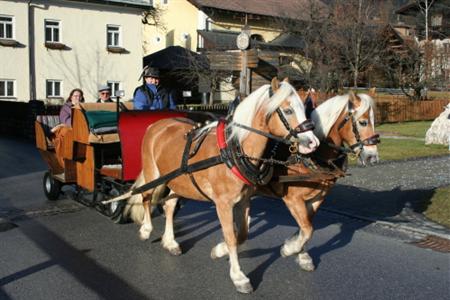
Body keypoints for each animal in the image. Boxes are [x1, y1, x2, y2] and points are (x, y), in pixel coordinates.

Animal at [116, 79, 320, 292]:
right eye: (288, 110)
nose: (313, 142)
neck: (234, 150)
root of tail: (155, 125)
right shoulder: (223, 204)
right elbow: (231, 237)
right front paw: (238, 276)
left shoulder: (243, 201)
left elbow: (241, 235)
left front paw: (219, 251)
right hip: (153, 172)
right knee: (146, 197)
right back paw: (146, 229)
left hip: (179, 181)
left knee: (169, 206)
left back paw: (170, 241)